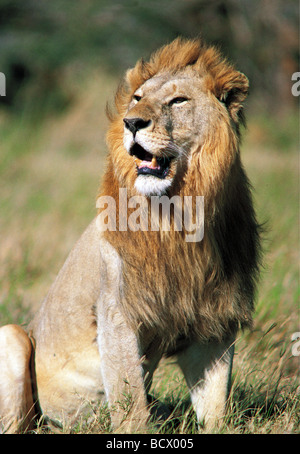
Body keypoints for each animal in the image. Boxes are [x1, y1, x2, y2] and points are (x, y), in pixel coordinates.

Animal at [0, 38, 260, 432]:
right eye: (137, 98)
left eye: (178, 100)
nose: (132, 122)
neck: (179, 215)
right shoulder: (117, 313)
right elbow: (131, 405)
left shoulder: (213, 324)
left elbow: (215, 406)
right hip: (12, 337)